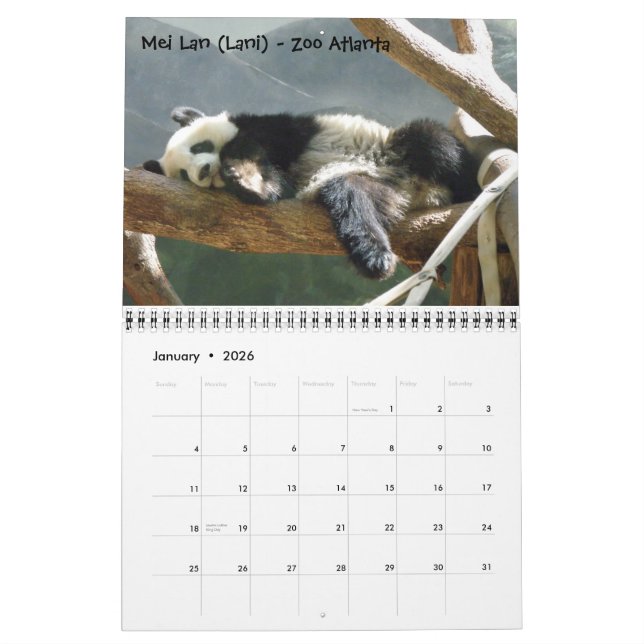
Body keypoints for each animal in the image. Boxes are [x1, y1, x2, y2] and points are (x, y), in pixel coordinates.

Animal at [143, 106, 479, 279]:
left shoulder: (281, 130)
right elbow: (279, 189)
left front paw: (246, 175)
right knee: (353, 199)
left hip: (395, 146)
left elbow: (255, 143)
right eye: (183, 174)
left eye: (198, 147)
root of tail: (416, 191)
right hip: (367, 186)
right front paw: (252, 184)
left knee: (434, 143)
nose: (202, 171)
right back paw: (373, 257)